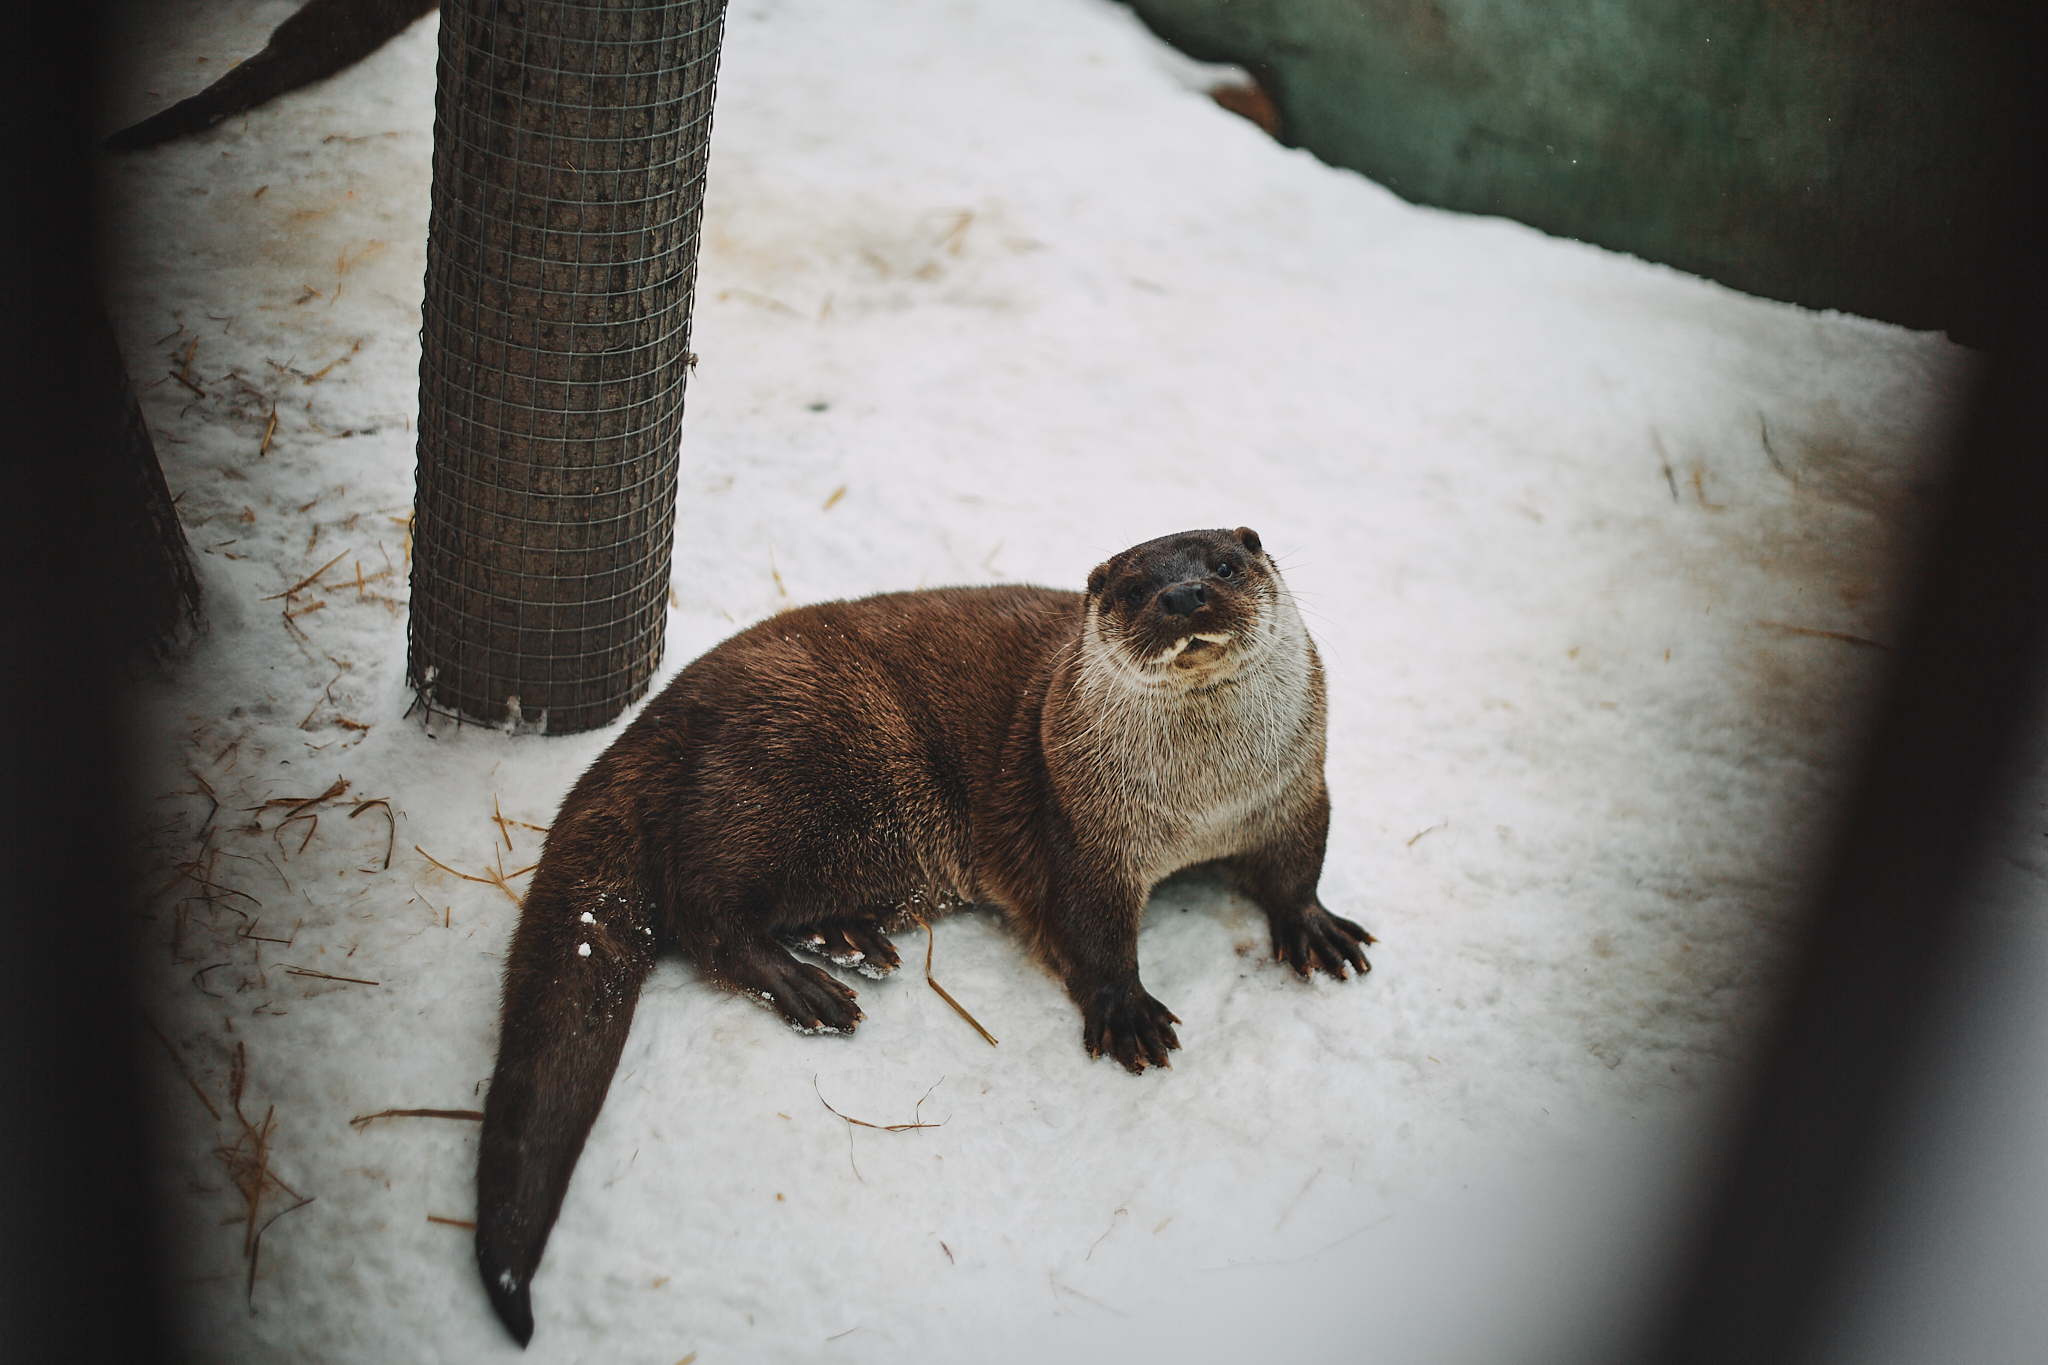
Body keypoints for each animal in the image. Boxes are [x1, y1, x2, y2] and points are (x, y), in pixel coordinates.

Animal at [475, 527, 1376, 1342]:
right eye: (1132, 587)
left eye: (1223, 564)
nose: (1184, 596)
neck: (1202, 804)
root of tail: (663, 711)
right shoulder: (1081, 836)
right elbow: (1090, 933)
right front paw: (1128, 1012)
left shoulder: (1298, 790)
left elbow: (1298, 869)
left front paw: (1317, 929)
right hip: (795, 774)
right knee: (706, 909)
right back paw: (808, 986)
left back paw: (852, 943)